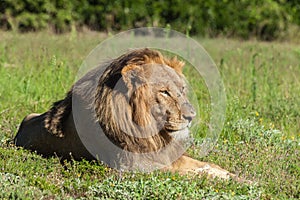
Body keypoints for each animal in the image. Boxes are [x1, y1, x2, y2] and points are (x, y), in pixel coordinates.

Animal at [14, 48, 241, 181]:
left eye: (182, 89)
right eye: (164, 92)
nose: (191, 116)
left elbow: (208, 166)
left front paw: (237, 177)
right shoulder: (138, 166)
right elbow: (196, 173)